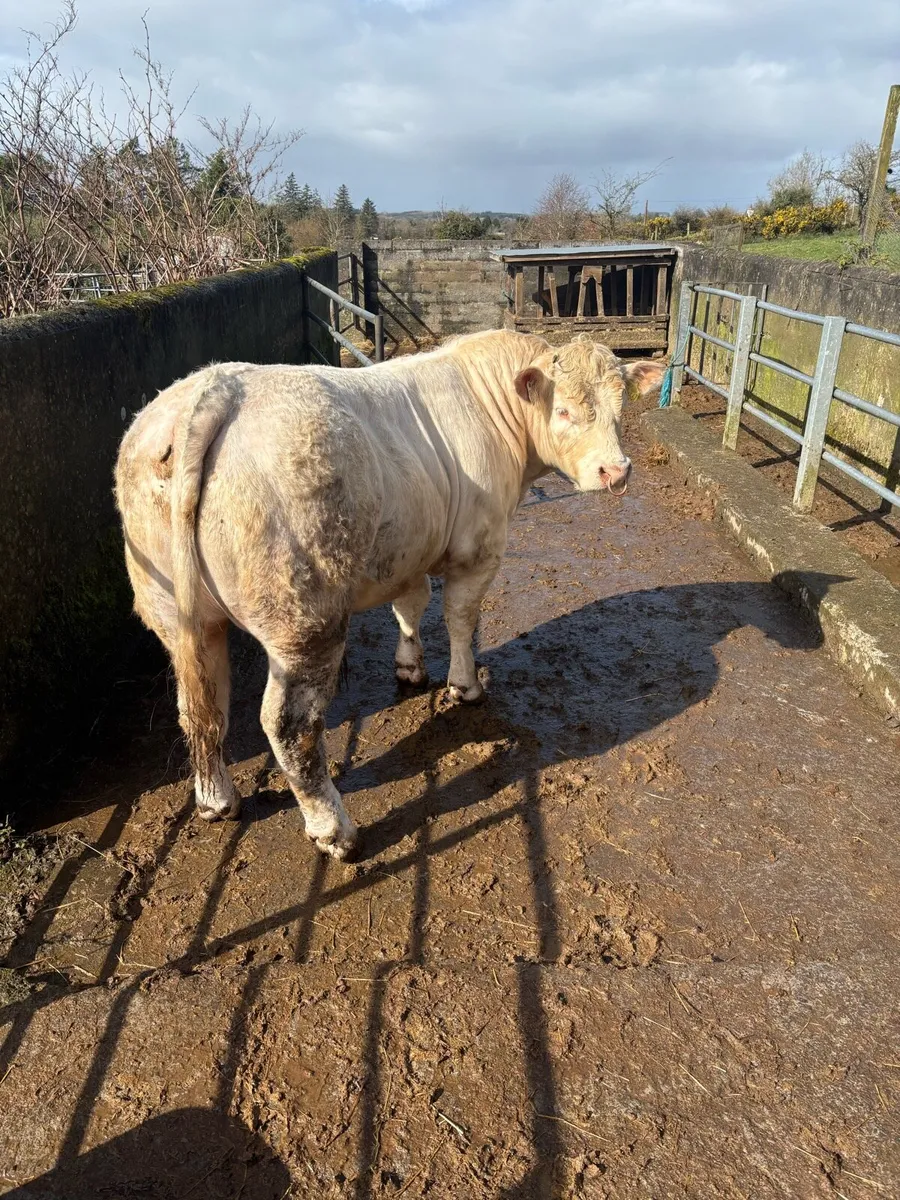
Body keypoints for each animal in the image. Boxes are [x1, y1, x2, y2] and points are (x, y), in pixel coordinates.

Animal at [114, 330, 664, 860]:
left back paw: (216, 800)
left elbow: (410, 604)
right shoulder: (478, 549)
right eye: (564, 410)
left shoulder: (410, 548)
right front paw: (464, 686)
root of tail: (217, 386)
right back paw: (335, 832)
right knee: (290, 726)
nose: (616, 472)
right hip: (305, 622)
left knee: (201, 704)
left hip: (179, 615)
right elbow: (460, 619)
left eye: (620, 410)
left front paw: (409, 666)